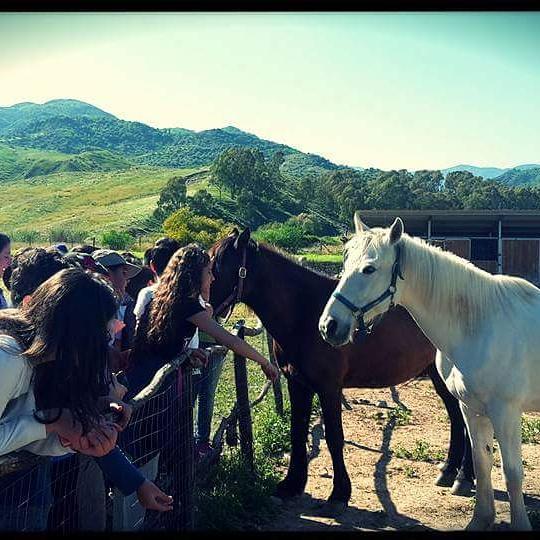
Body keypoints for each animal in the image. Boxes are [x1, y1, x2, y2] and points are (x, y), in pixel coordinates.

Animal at [209, 229, 470, 516]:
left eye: (218, 266)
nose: (198, 306)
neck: (303, 312)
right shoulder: (297, 384)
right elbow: (297, 432)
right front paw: (291, 484)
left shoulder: (329, 388)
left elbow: (335, 438)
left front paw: (339, 494)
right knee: (457, 418)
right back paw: (449, 470)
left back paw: (463, 478)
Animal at [318, 212, 540, 532]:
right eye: (345, 263)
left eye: (369, 269)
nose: (329, 326)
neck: (480, 325)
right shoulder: (472, 408)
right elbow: (482, 464)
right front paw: (480, 519)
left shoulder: (505, 412)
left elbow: (512, 473)